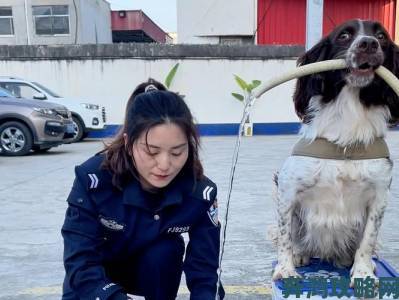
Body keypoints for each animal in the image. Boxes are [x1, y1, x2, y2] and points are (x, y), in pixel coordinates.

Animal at [274, 19, 399, 284]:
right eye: (344, 35)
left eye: (381, 36)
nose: (368, 44)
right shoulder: (288, 188)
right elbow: (285, 236)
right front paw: (286, 268)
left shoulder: (379, 195)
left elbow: (368, 240)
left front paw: (363, 272)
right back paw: (301, 254)